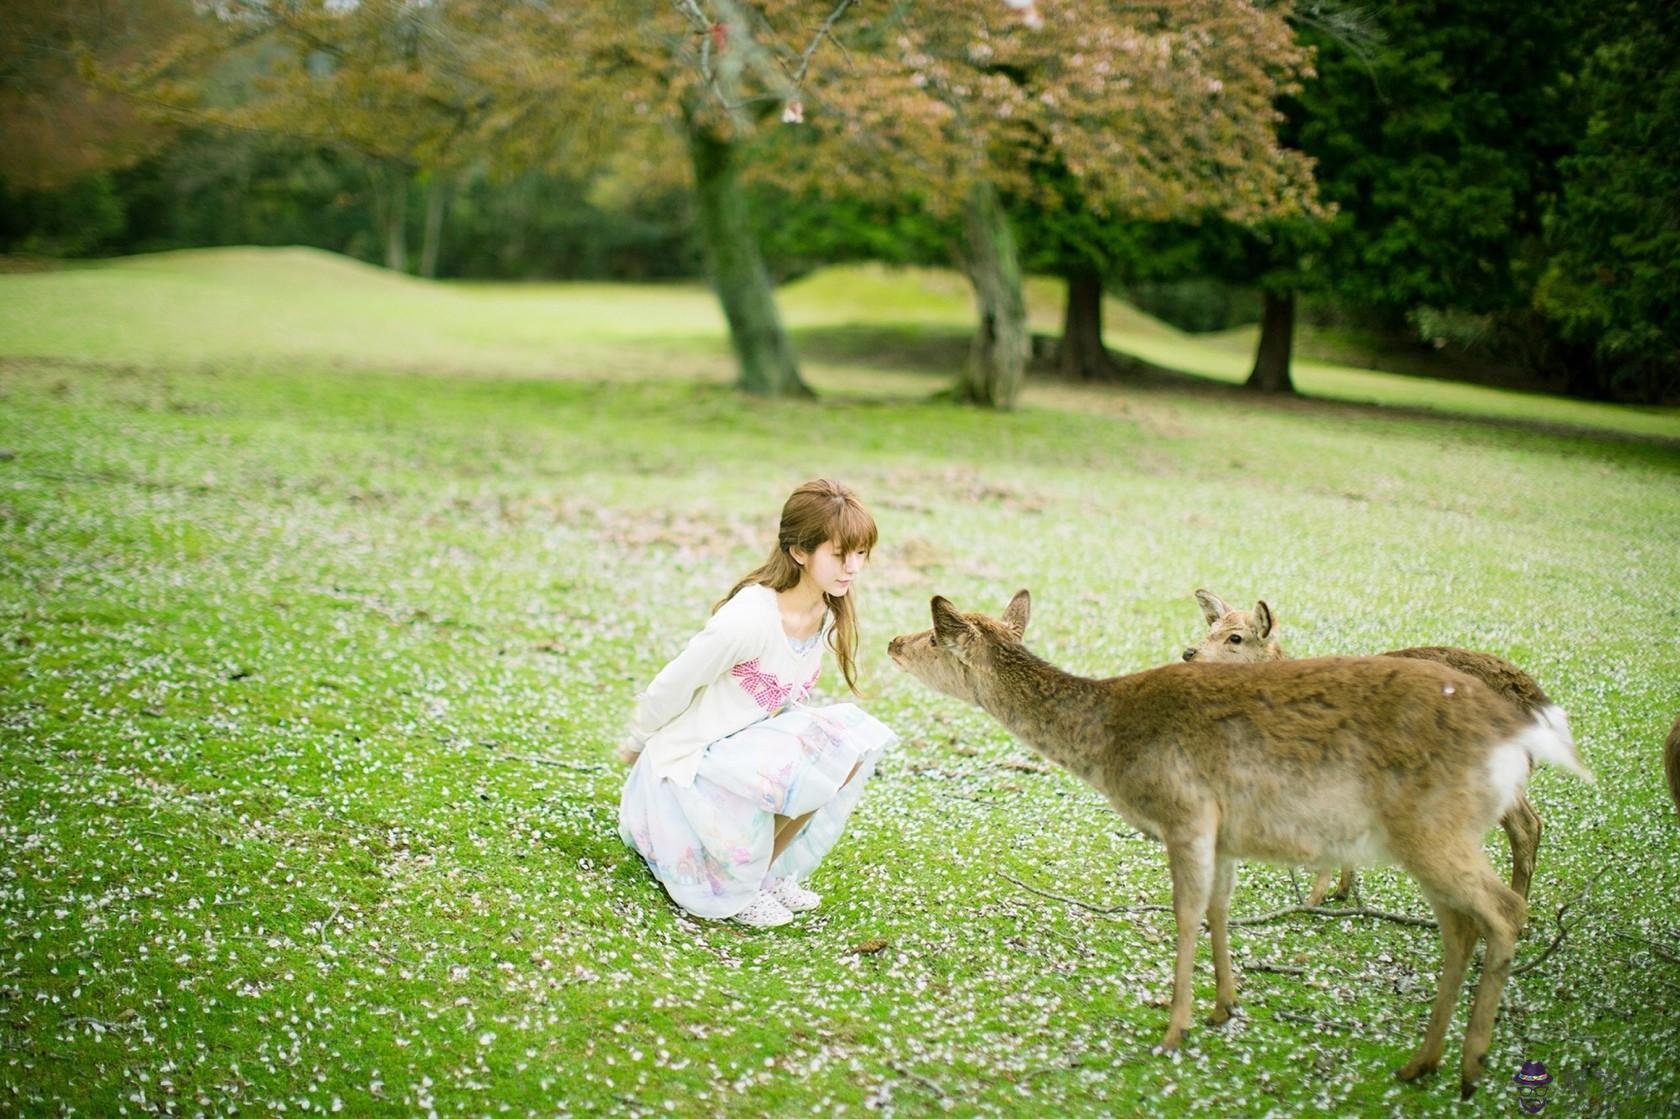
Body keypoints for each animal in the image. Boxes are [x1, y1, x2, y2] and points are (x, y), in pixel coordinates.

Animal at [1182, 588, 1545, 900]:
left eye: (1235, 637)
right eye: (1211, 627)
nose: (1188, 653)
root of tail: (1532, 696)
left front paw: (1315, 898)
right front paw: (1341, 891)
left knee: (1526, 826)